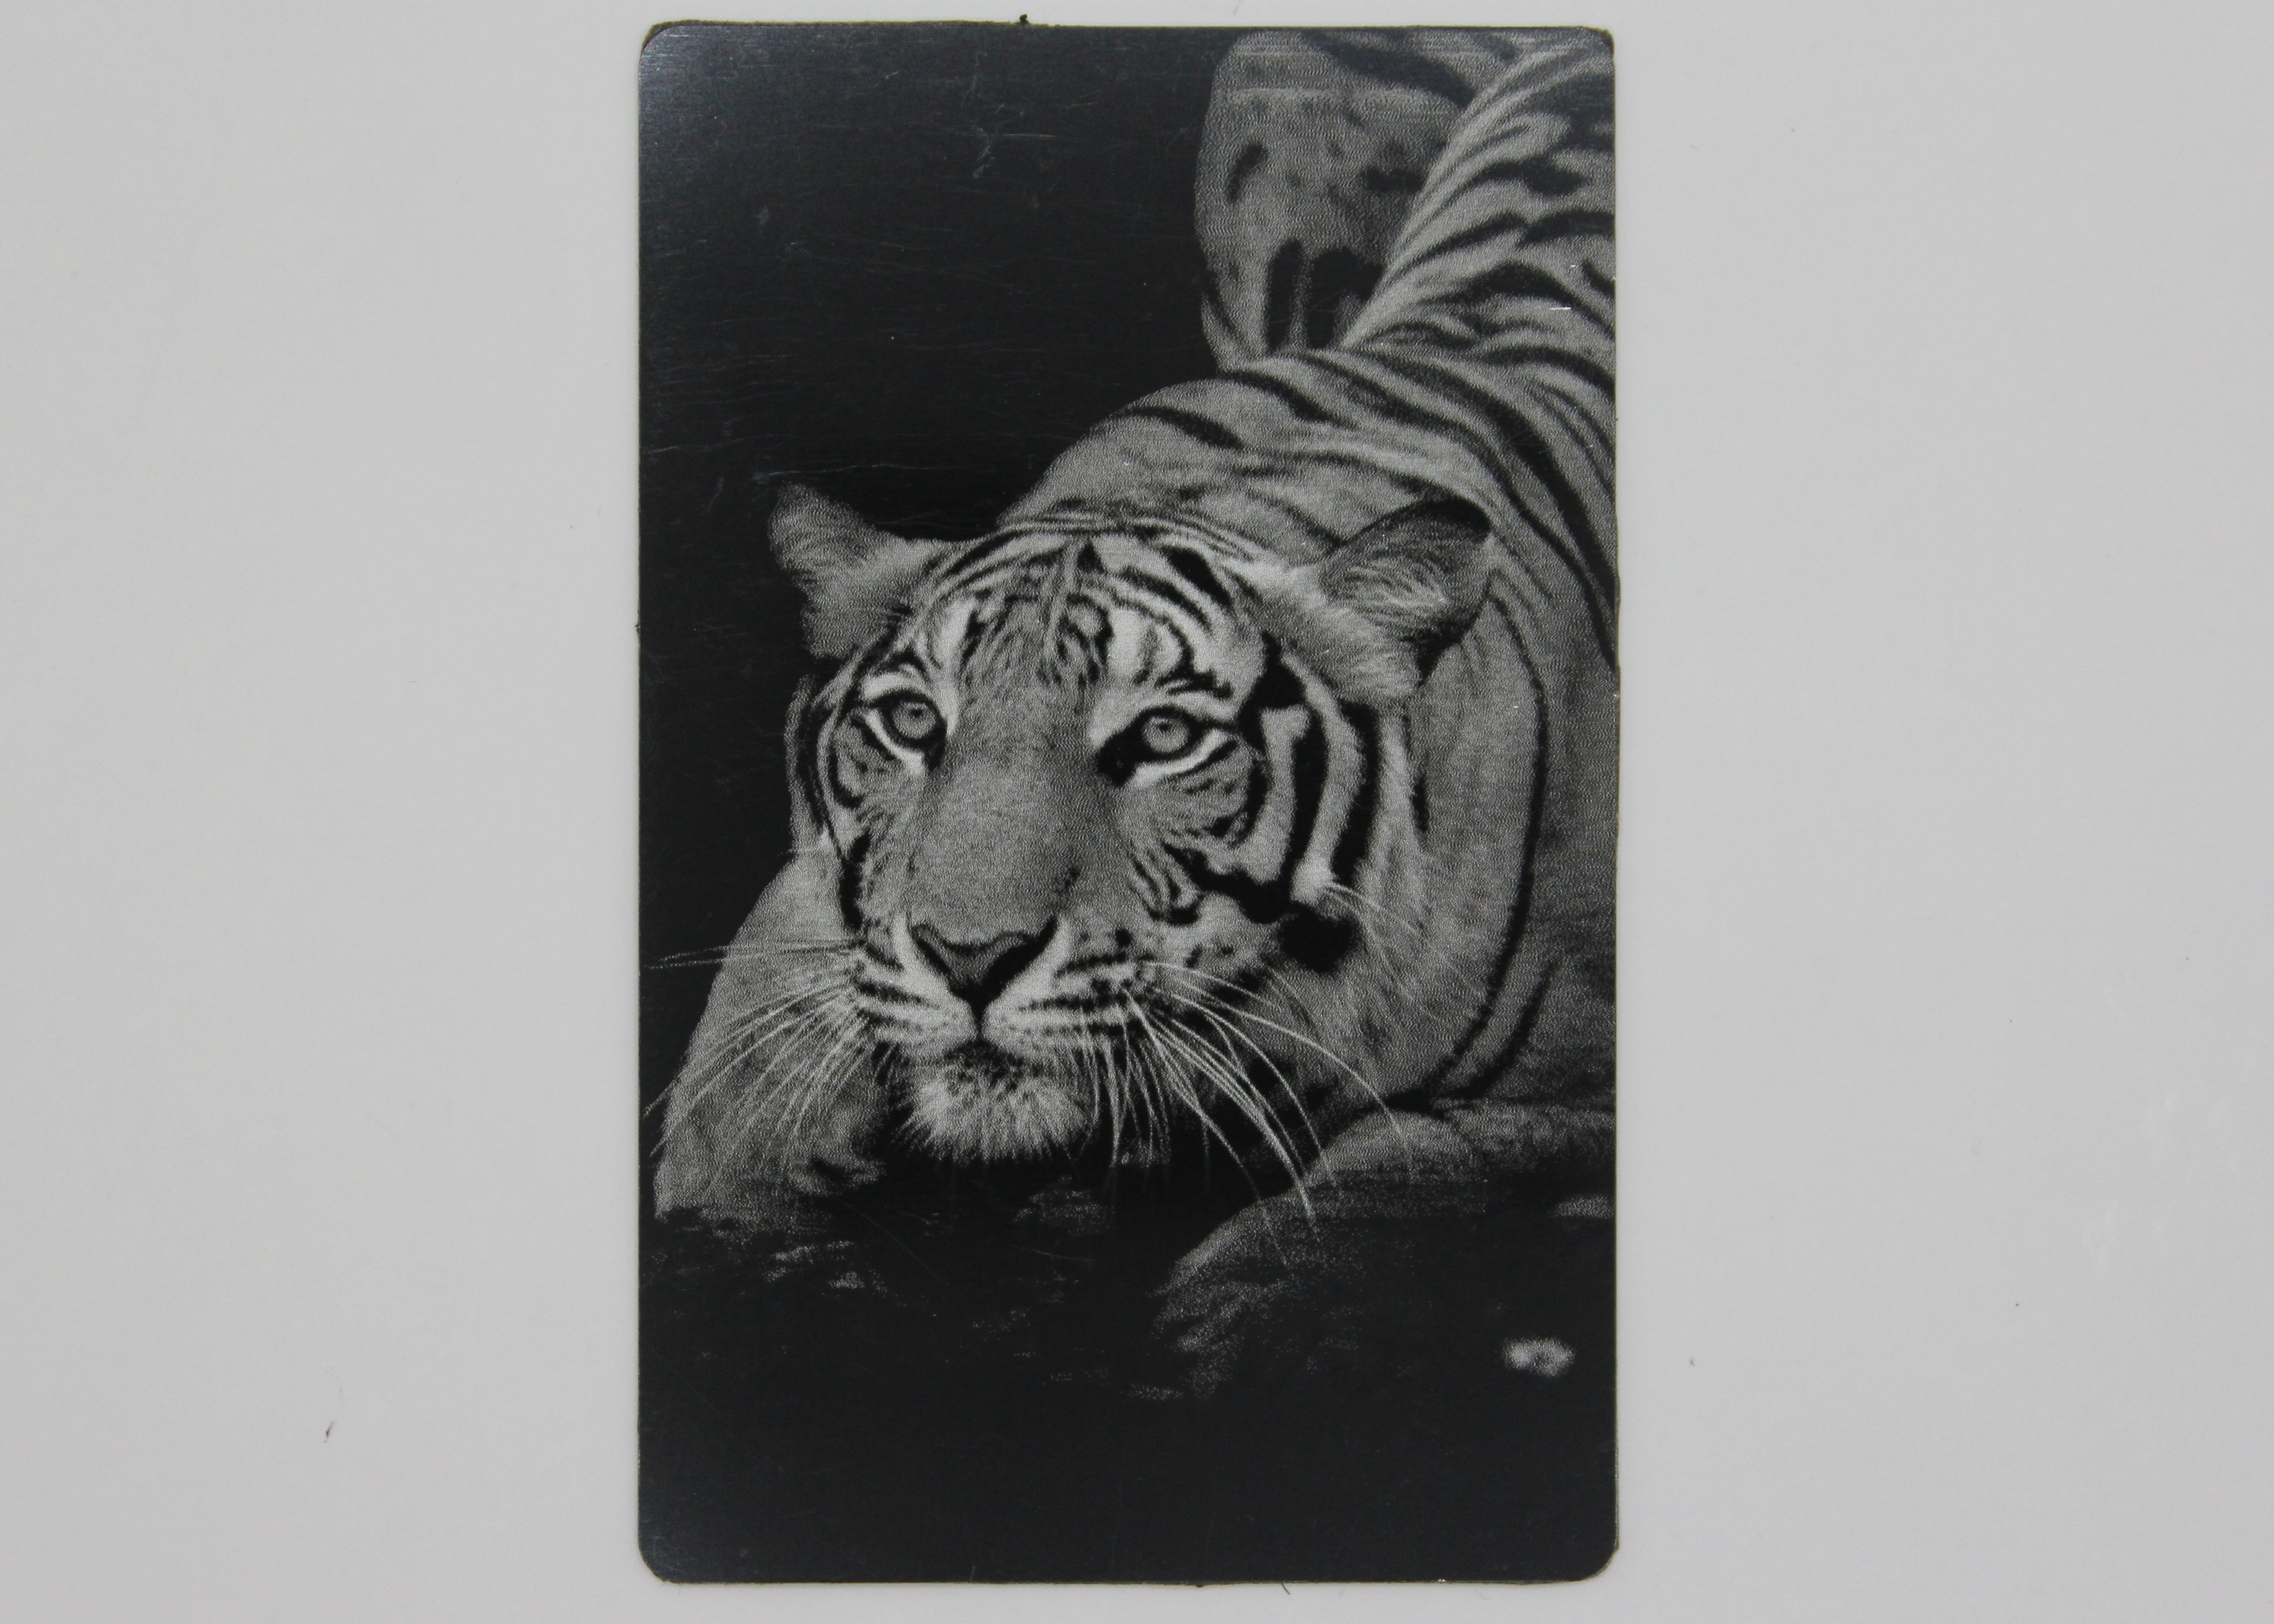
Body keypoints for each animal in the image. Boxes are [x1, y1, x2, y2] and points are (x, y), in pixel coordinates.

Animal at [655, 28, 1615, 1394]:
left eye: (1163, 738)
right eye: (913, 725)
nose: (971, 958)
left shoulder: (1583, 1092)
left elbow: (1430, 1164)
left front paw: (1250, 1309)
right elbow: (748, 1057)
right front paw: (746, 1216)